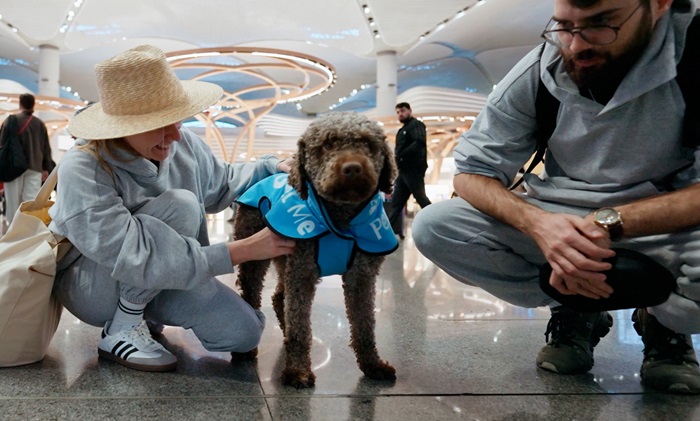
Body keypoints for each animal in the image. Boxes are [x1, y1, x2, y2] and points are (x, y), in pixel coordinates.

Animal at [234, 110, 400, 388]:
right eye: (327, 144)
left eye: (368, 143)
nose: (352, 168)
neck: (340, 219)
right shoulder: (302, 273)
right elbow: (300, 326)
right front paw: (297, 370)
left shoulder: (361, 276)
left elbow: (365, 325)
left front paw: (373, 365)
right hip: (256, 257)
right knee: (251, 295)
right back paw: (246, 349)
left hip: (284, 260)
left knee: (279, 297)